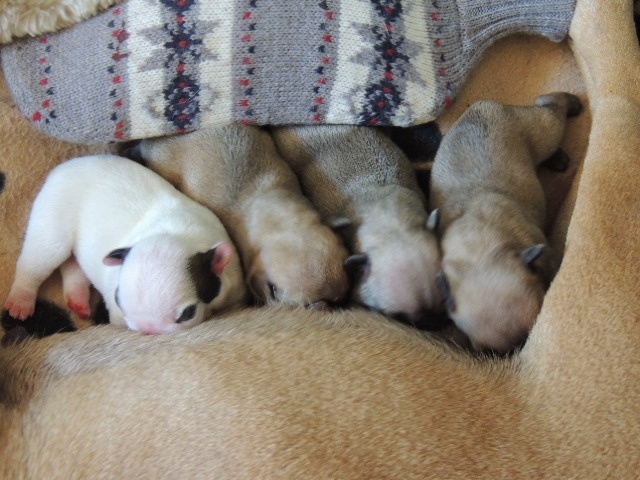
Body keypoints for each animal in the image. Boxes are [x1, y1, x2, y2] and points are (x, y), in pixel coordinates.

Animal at [3, 156, 246, 336]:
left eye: (188, 314)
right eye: (118, 300)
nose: (148, 331)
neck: (175, 233)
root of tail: (64, 166)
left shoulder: (233, 284)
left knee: (73, 263)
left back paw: (78, 300)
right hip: (53, 212)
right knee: (40, 257)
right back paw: (21, 301)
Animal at [428, 92, 584, 350]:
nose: (516, 352)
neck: (479, 253)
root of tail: (481, 104)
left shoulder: (545, 255)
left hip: (544, 131)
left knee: (552, 106)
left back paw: (573, 105)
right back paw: (559, 159)